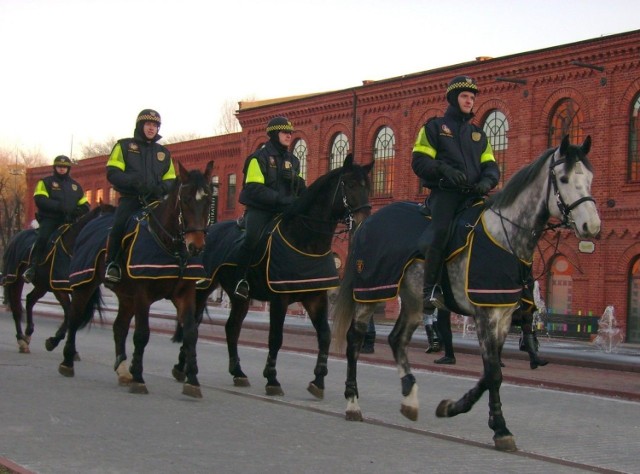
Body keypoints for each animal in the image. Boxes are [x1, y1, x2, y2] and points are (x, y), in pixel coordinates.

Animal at [1, 202, 115, 354]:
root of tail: (15, 237)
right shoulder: (59, 288)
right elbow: (69, 313)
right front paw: (54, 341)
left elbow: (73, 315)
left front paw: (59, 343)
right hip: (14, 279)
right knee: (16, 309)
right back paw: (21, 340)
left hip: (42, 285)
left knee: (30, 300)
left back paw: (28, 333)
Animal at [58, 161, 212, 398]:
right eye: (185, 199)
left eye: (208, 199)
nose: (196, 245)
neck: (170, 247)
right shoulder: (143, 294)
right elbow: (141, 334)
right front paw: (139, 378)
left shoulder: (185, 294)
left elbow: (190, 333)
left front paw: (192, 380)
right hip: (85, 284)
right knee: (74, 318)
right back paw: (67, 361)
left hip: (126, 296)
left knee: (119, 327)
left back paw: (122, 370)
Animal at [174, 155, 376, 396]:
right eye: (351, 184)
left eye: (369, 186)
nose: (364, 221)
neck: (305, 241)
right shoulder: (280, 298)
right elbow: (276, 338)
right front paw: (272, 378)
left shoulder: (315, 297)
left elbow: (325, 335)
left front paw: (318, 380)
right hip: (203, 288)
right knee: (192, 323)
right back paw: (182, 367)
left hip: (239, 297)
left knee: (231, 328)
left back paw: (237, 372)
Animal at [332, 137, 604, 452]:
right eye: (563, 179)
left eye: (590, 178)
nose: (591, 226)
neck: (504, 236)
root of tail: (368, 222)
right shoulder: (485, 314)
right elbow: (494, 373)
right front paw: (500, 428)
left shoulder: (503, 316)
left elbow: (491, 371)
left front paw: (453, 407)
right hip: (371, 293)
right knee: (354, 340)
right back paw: (353, 402)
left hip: (413, 300)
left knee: (396, 339)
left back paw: (409, 398)